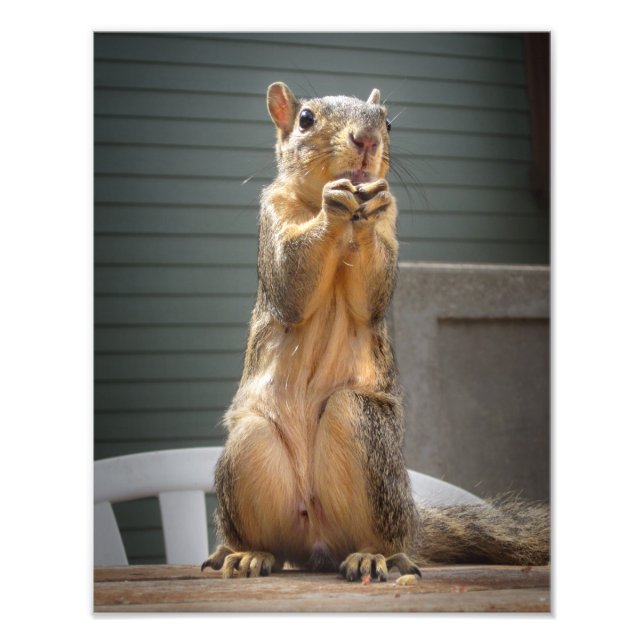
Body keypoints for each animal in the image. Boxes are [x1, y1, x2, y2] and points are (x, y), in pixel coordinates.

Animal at [201, 82, 550, 581]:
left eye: (387, 122)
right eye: (305, 119)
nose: (366, 140)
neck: (345, 225)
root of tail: (315, 543)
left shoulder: (387, 227)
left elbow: (371, 295)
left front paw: (369, 201)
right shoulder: (273, 218)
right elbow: (288, 280)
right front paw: (332, 204)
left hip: (363, 429)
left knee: (379, 534)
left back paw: (373, 556)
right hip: (250, 446)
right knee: (273, 541)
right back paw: (248, 552)